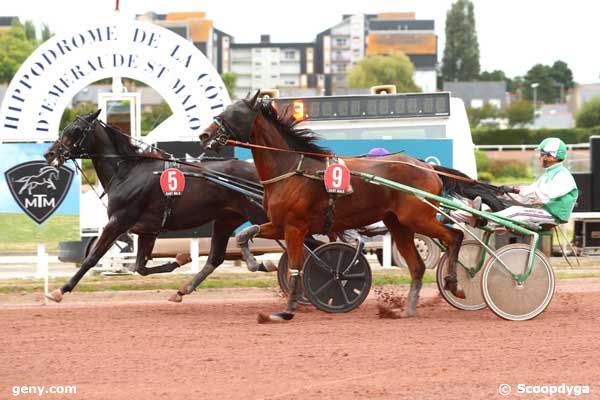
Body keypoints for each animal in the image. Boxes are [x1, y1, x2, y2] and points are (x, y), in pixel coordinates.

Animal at [45, 109, 272, 304]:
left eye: (75, 130)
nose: (50, 154)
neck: (127, 172)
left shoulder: (118, 221)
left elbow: (92, 258)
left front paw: (60, 290)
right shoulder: (147, 230)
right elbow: (140, 267)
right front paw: (181, 259)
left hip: (258, 214)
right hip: (226, 219)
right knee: (215, 259)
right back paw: (185, 290)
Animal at [202, 90, 468, 322]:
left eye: (233, 113)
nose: (204, 135)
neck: (291, 170)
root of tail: (427, 166)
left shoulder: (295, 228)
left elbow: (296, 268)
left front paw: (287, 311)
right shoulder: (279, 225)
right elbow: (244, 235)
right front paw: (256, 263)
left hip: (418, 218)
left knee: (455, 236)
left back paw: (454, 284)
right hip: (398, 224)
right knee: (417, 266)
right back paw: (407, 310)